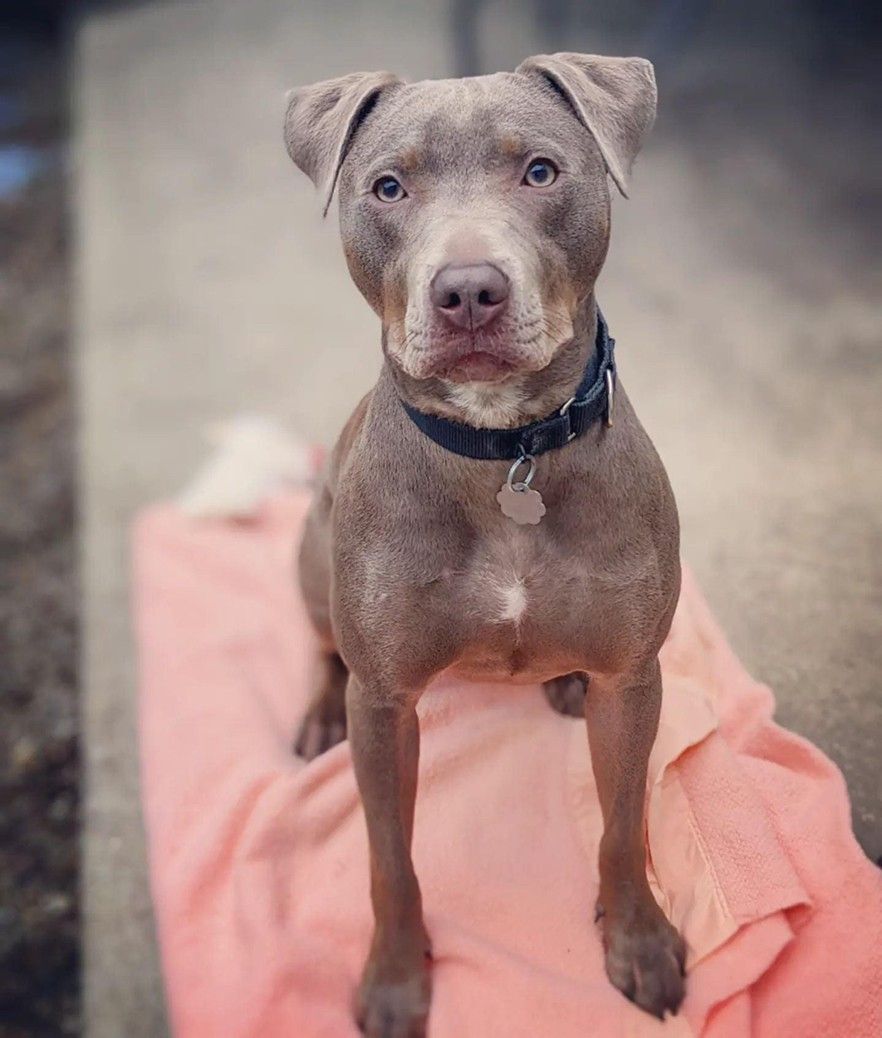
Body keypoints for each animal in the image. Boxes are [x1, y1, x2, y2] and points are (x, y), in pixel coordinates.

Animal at [284, 54, 684, 1038]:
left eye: (540, 171)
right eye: (388, 187)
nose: (468, 289)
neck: (507, 453)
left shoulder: (636, 680)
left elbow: (624, 826)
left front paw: (639, 940)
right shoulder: (386, 709)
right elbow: (389, 861)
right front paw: (395, 980)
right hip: (312, 551)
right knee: (323, 644)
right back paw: (315, 711)